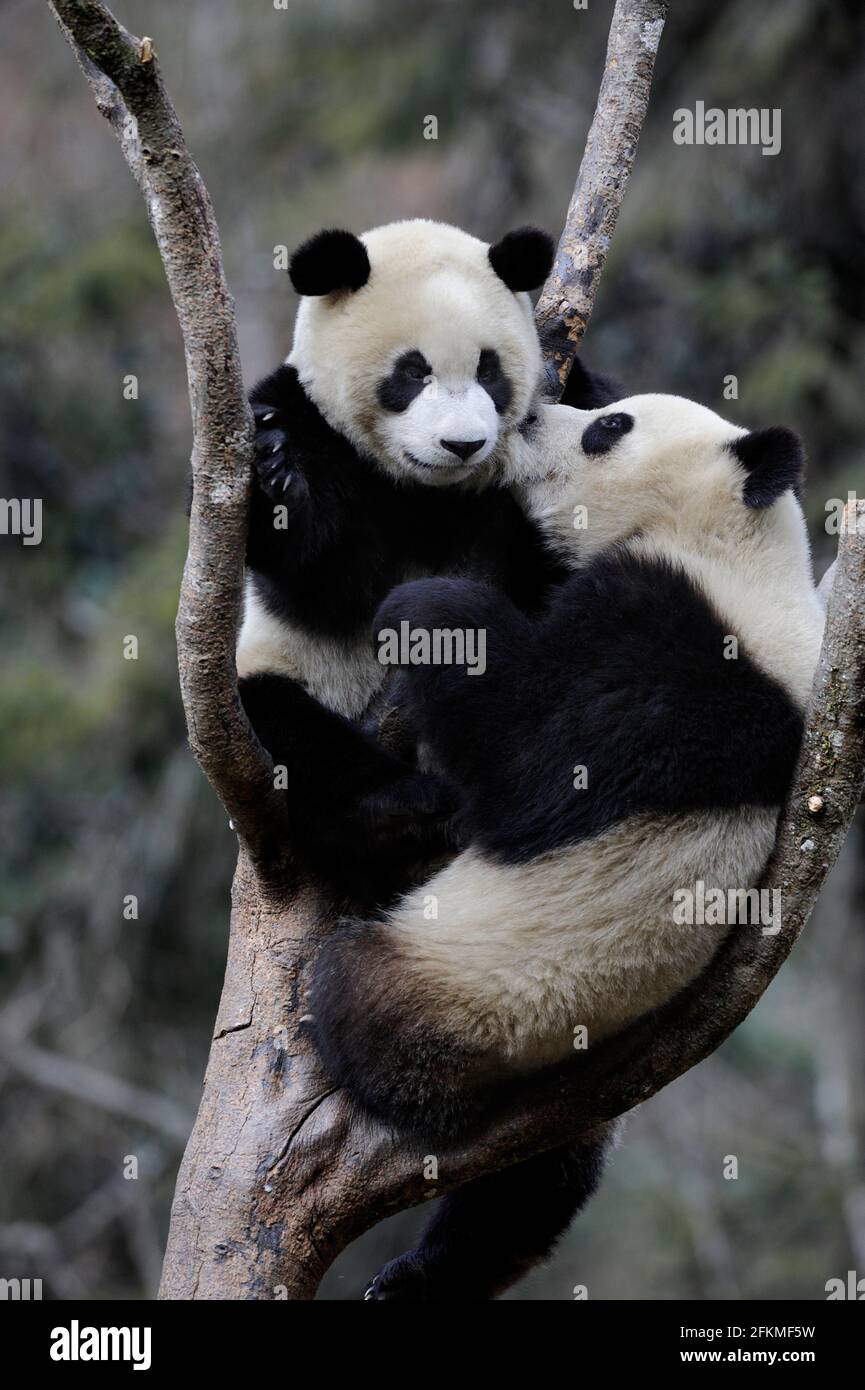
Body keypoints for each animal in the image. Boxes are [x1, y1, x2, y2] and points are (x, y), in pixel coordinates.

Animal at [310, 394, 828, 1301]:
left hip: (461, 995)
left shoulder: (679, 644)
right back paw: (422, 1276)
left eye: (608, 426)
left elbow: (532, 758)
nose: (522, 420)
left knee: (356, 1001)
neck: (738, 549)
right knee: (537, 1187)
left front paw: (428, 608)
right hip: (565, 1093)